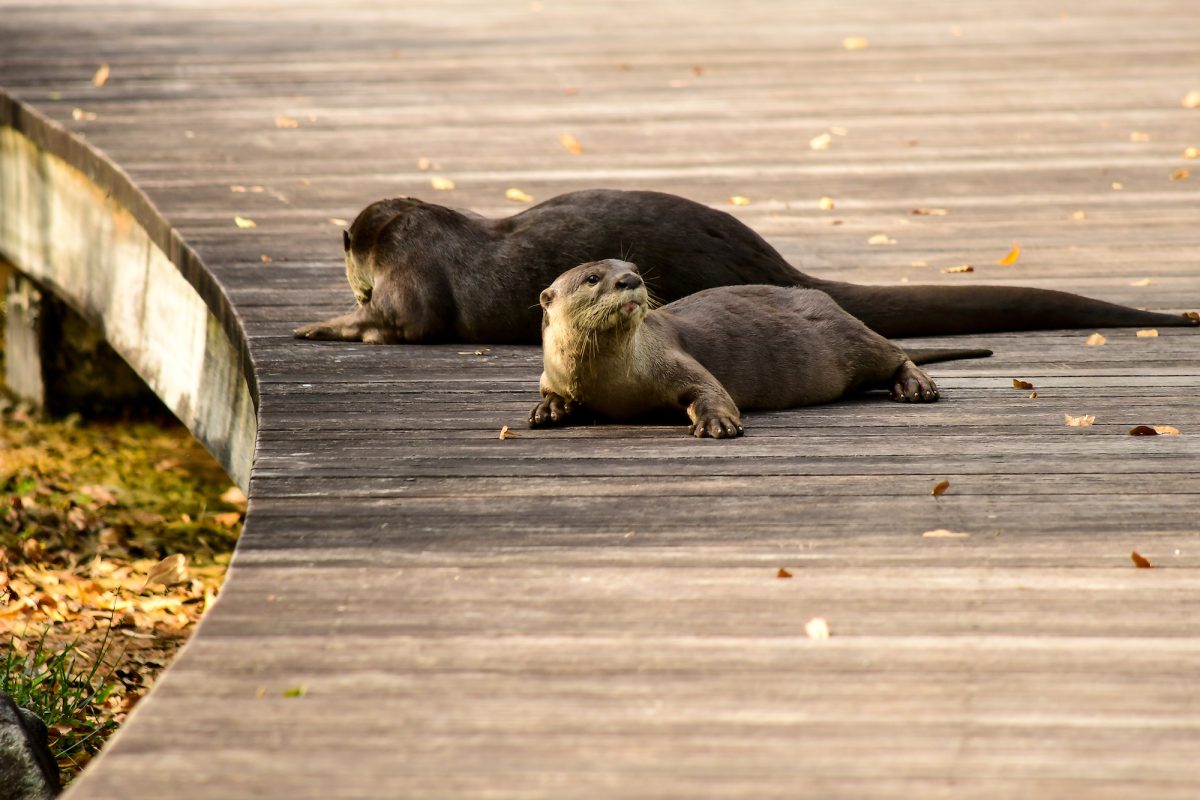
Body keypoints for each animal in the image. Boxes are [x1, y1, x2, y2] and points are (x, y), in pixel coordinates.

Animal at [528, 260, 993, 438]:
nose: (631, 280)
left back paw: (915, 386)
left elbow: (710, 390)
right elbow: (549, 392)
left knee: (894, 352)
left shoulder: (672, 357)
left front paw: (717, 423)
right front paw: (547, 410)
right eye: (593, 278)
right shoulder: (552, 374)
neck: (609, 382)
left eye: (633, 267)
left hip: (853, 338)